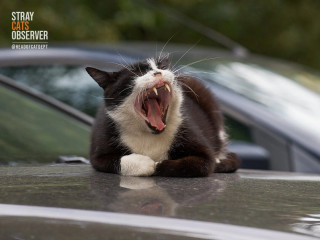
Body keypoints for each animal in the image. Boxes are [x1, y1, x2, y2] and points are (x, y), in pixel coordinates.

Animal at [85, 55, 240, 176]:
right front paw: (145, 163)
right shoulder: (99, 148)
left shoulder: (197, 143)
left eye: (162, 66)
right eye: (137, 73)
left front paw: (159, 165)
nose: (158, 72)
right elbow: (113, 161)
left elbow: (201, 163)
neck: (150, 135)